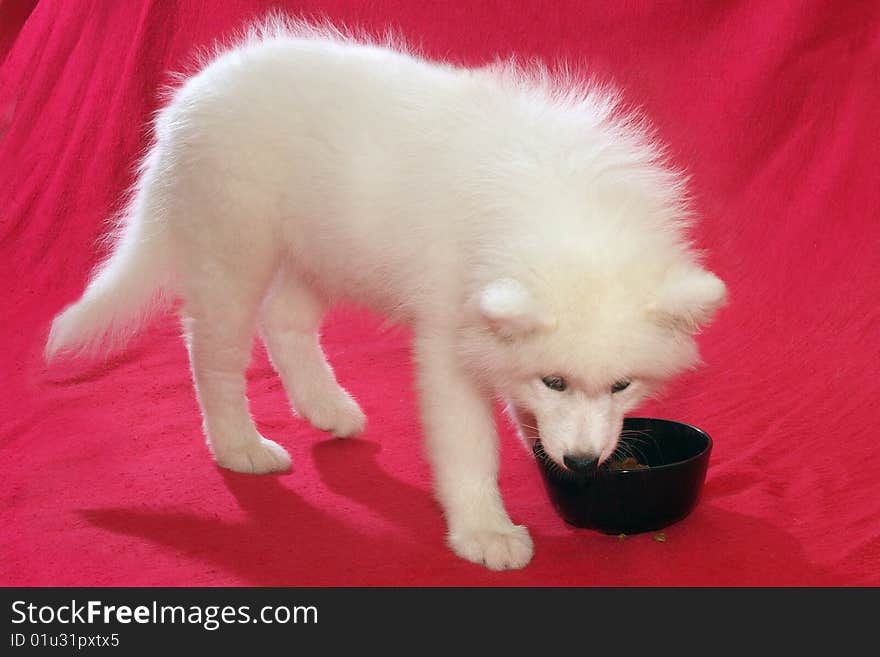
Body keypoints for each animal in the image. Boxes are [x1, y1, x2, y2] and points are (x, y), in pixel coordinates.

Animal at [44, 19, 724, 568]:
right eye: (554, 380)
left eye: (622, 386)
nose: (583, 464)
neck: (559, 205)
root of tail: (189, 95)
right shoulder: (447, 339)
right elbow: (468, 443)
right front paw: (485, 531)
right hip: (233, 250)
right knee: (212, 353)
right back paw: (240, 446)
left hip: (321, 250)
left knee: (283, 320)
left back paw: (326, 407)